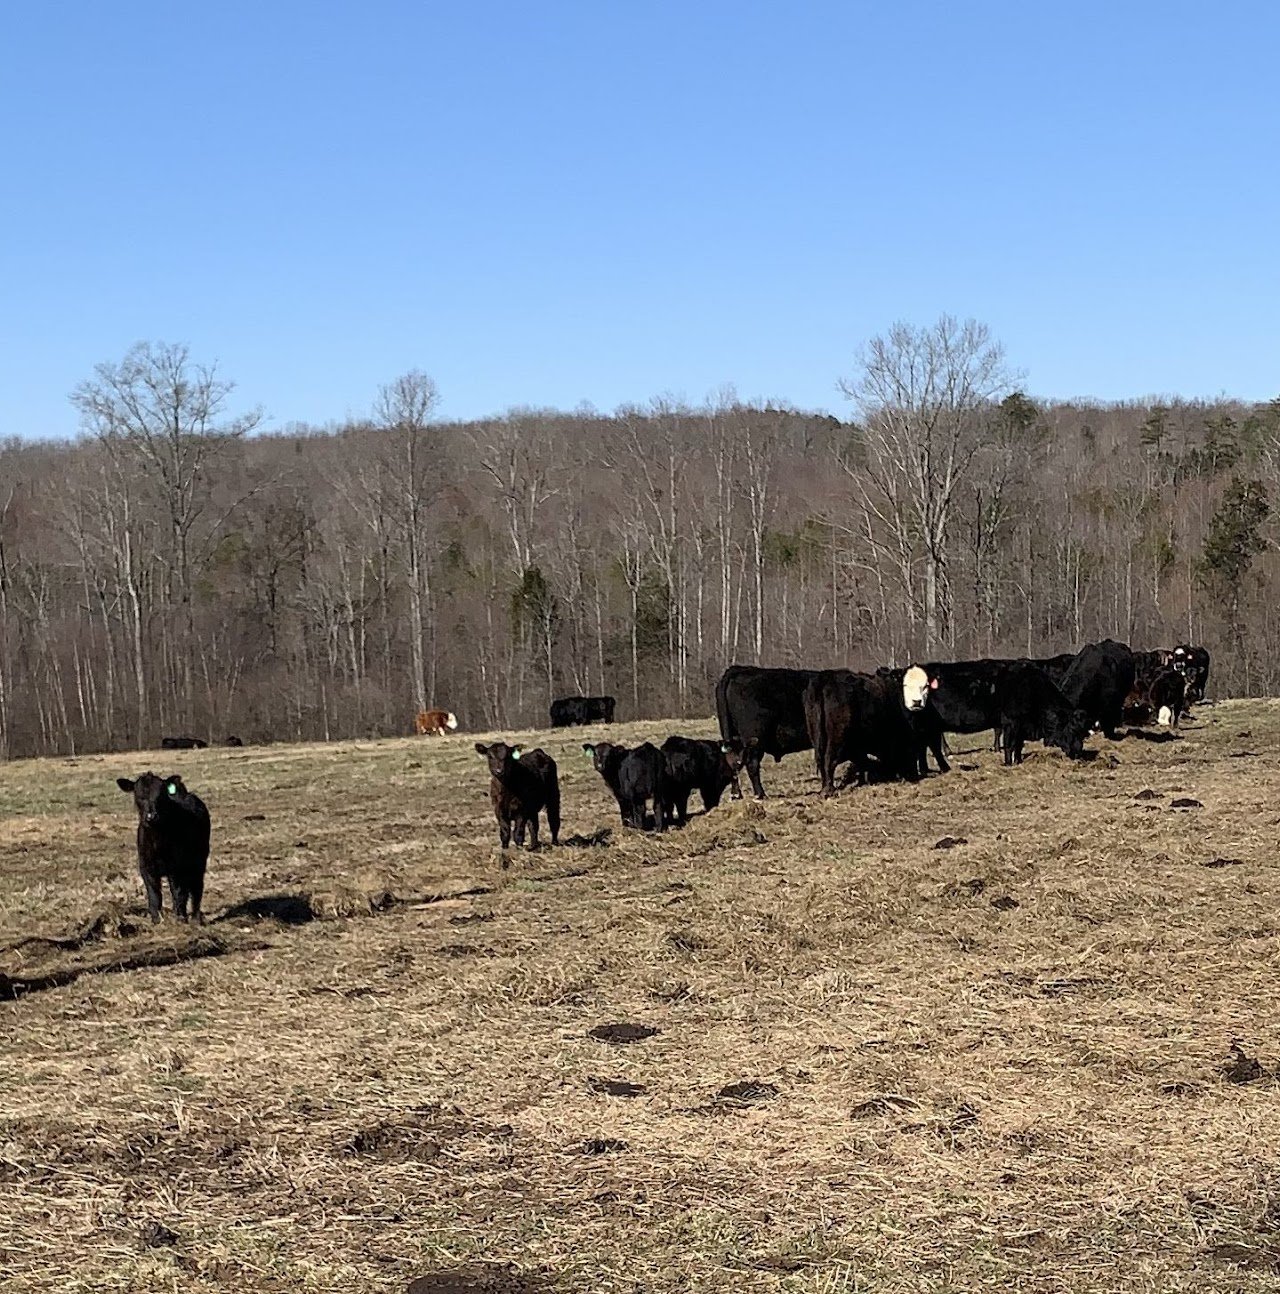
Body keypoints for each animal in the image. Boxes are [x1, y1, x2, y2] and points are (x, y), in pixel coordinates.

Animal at [116, 772, 211, 923]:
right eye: (138, 796)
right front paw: (156, 920)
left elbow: (178, 891)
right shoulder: (146, 867)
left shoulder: (176, 868)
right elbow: (154, 894)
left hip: (199, 859)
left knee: (196, 887)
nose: (151, 816)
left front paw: (180, 917)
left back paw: (196, 919)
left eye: (160, 795)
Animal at [715, 664, 819, 799]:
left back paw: (737, 794)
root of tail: (738, 669)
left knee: (732, 763)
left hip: (732, 739)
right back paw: (760, 794)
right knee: (752, 764)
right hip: (754, 740)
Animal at [804, 665, 936, 797]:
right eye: (910, 752)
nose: (912, 775)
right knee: (829, 760)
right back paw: (829, 790)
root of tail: (825, 677)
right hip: (837, 738)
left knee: (821, 759)